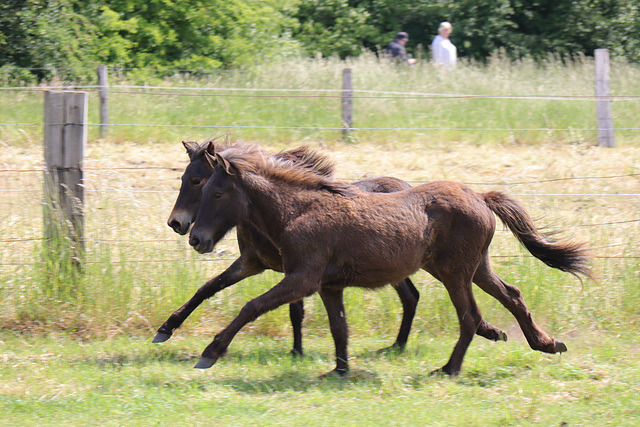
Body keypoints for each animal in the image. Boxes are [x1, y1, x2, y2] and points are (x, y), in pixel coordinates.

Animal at [156, 142, 510, 356]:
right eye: (187, 178)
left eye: (199, 181)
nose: (180, 226)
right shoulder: (252, 264)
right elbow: (207, 288)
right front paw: (165, 329)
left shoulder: (296, 270)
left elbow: (292, 309)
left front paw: (297, 351)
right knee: (419, 295)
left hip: (432, 264)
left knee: (422, 295)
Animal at [188, 145, 592, 378]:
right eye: (201, 187)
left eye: (216, 191)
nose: (195, 238)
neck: (298, 211)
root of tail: (479, 196)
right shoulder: (328, 285)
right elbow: (339, 327)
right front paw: (339, 370)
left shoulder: (302, 279)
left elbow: (251, 306)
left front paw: (211, 353)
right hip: (475, 268)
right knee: (512, 295)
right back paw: (546, 344)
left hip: (455, 273)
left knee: (470, 317)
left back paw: (449, 368)